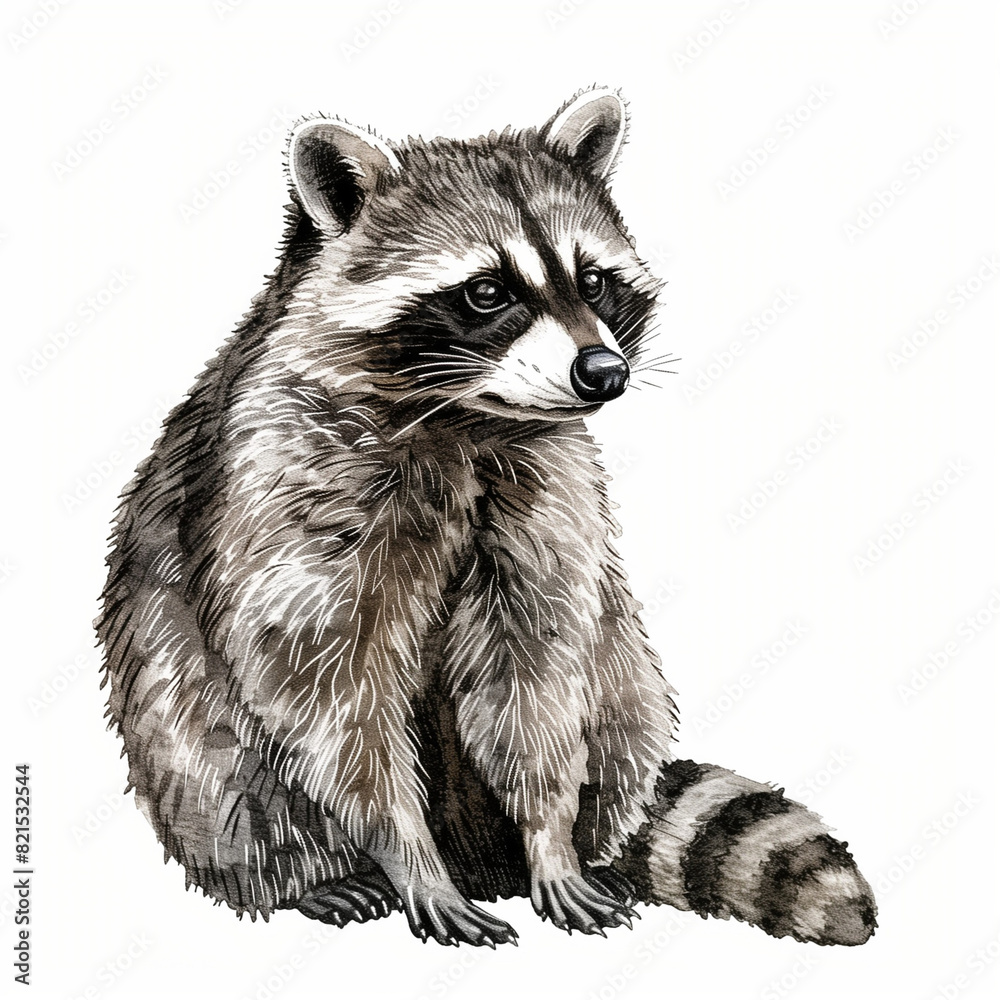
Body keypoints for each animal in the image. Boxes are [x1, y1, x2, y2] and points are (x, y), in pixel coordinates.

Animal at [97, 87, 876, 948]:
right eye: (487, 292)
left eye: (593, 282)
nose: (604, 372)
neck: (468, 420)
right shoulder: (282, 477)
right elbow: (326, 691)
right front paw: (407, 853)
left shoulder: (546, 496)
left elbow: (533, 675)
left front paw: (550, 839)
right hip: (179, 725)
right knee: (218, 764)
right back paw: (316, 874)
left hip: (624, 680)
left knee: (617, 699)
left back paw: (584, 846)